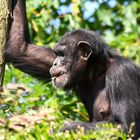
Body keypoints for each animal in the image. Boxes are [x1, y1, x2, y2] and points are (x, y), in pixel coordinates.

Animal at [5, 0, 140, 139]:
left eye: (62, 54)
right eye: (56, 54)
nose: (54, 63)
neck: (96, 72)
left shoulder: (123, 73)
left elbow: (124, 126)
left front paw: (57, 126)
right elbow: (20, 49)